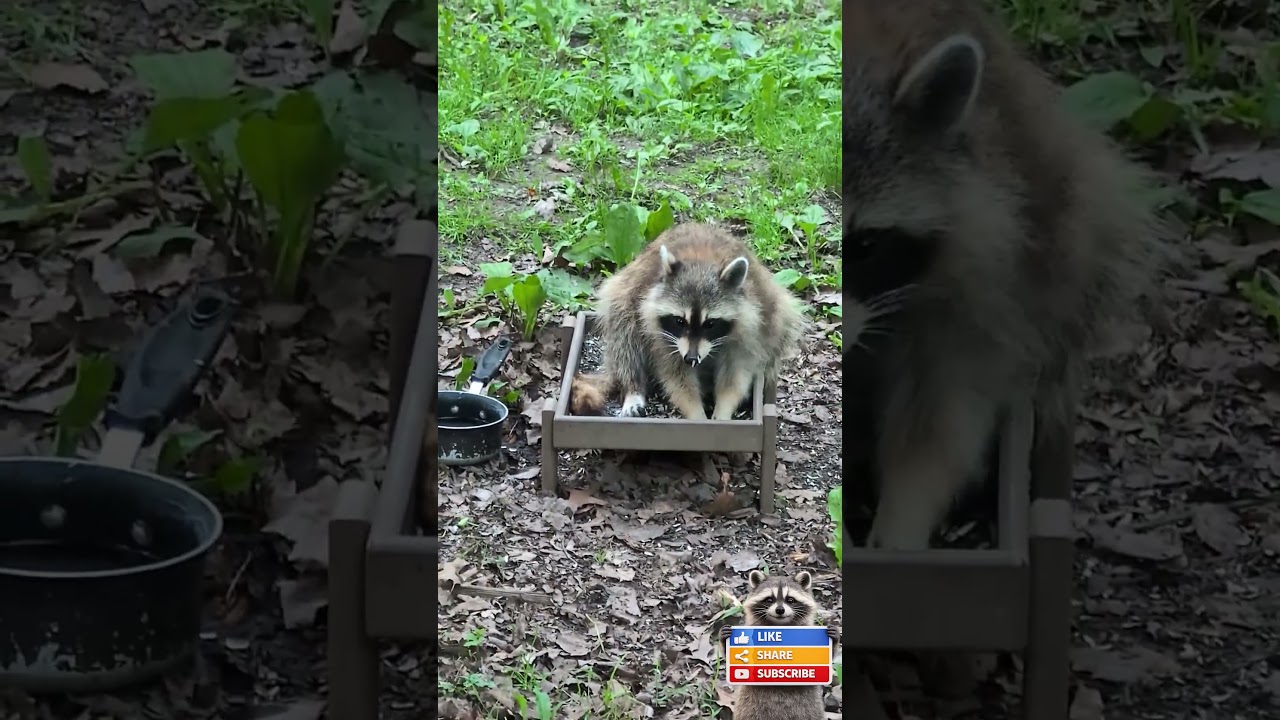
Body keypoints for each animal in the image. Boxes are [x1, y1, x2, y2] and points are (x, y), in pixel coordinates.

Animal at [571, 224, 807, 420]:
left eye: (710, 324)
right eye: (679, 321)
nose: (691, 358)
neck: (702, 264)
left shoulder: (749, 329)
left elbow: (736, 373)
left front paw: (724, 410)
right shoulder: (661, 334)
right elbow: (675, 376)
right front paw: (696, 413)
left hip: (777, 311)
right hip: (625, 294)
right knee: (624, 333)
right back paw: (633, 388)